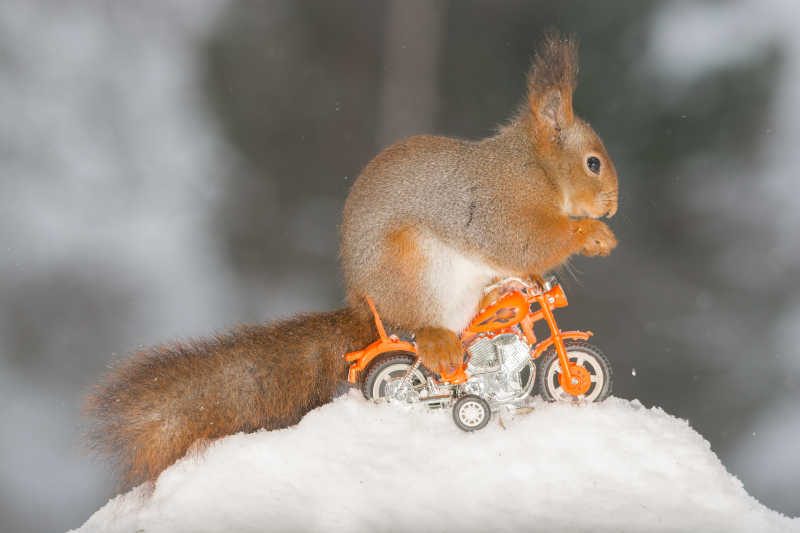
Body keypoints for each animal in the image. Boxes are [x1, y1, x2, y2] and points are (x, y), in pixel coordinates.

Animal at [84, 32, 620, 490]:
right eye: (593, 163)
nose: (613, 207)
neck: (536, 168)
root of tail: (365, 302)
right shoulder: (497, 207)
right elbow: (524, 242)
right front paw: (590, 235)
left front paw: (541, 279)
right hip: (413, 269)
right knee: (417, 336)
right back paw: (439, 344)